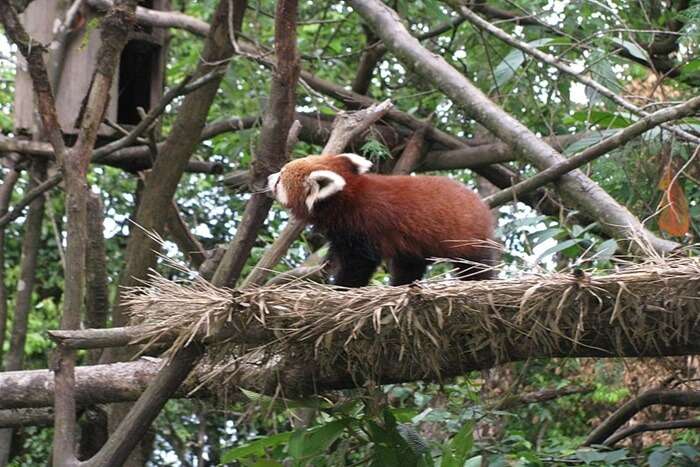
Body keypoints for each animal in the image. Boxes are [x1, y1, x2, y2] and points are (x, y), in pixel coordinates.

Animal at [268, 154, 498, 288]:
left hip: (466, 235)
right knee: (409, 265)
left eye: (280, 178)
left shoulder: (364, 226)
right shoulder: (341, 233)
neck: (347, 197)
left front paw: (343, 286)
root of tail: (481, 204)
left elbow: (359, 265)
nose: (269, 177)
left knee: (475, 265)